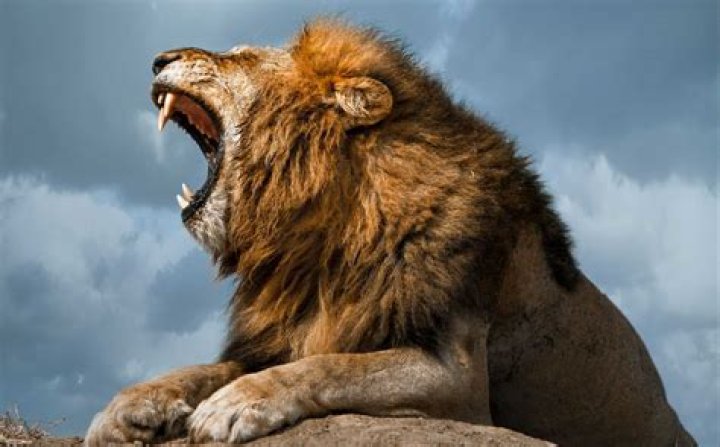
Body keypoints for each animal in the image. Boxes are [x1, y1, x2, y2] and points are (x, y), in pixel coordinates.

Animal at [85, 19, 696, 446]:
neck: (321, 237)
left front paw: (235, 404)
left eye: (241, 56)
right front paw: (127, 408)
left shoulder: (459, 380)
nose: (159, 58)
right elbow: (205, 368)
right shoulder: (292, 329)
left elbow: (331, 367)